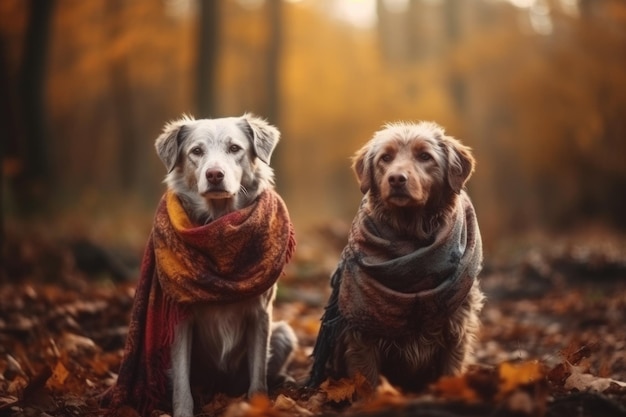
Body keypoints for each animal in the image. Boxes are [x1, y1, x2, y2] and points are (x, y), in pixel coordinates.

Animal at [310, 120, 486, 390]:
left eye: (425, 156)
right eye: (386, 158)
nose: (396, 179)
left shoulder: (457, 325)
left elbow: (451, 371)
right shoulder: (361, 334)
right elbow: (368, 379)